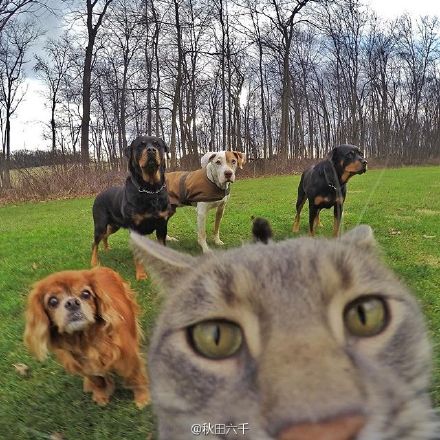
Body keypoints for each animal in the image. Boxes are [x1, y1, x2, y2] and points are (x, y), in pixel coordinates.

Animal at [24, 266, 150, 408]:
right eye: (53, 301)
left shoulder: (130, 358)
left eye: (86, 294)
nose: (72, 302)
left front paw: (142, 398)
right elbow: (98, 381)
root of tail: (99, 267)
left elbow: (136, 377)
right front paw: (101, 395)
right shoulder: (84, 366)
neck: (85, 339)